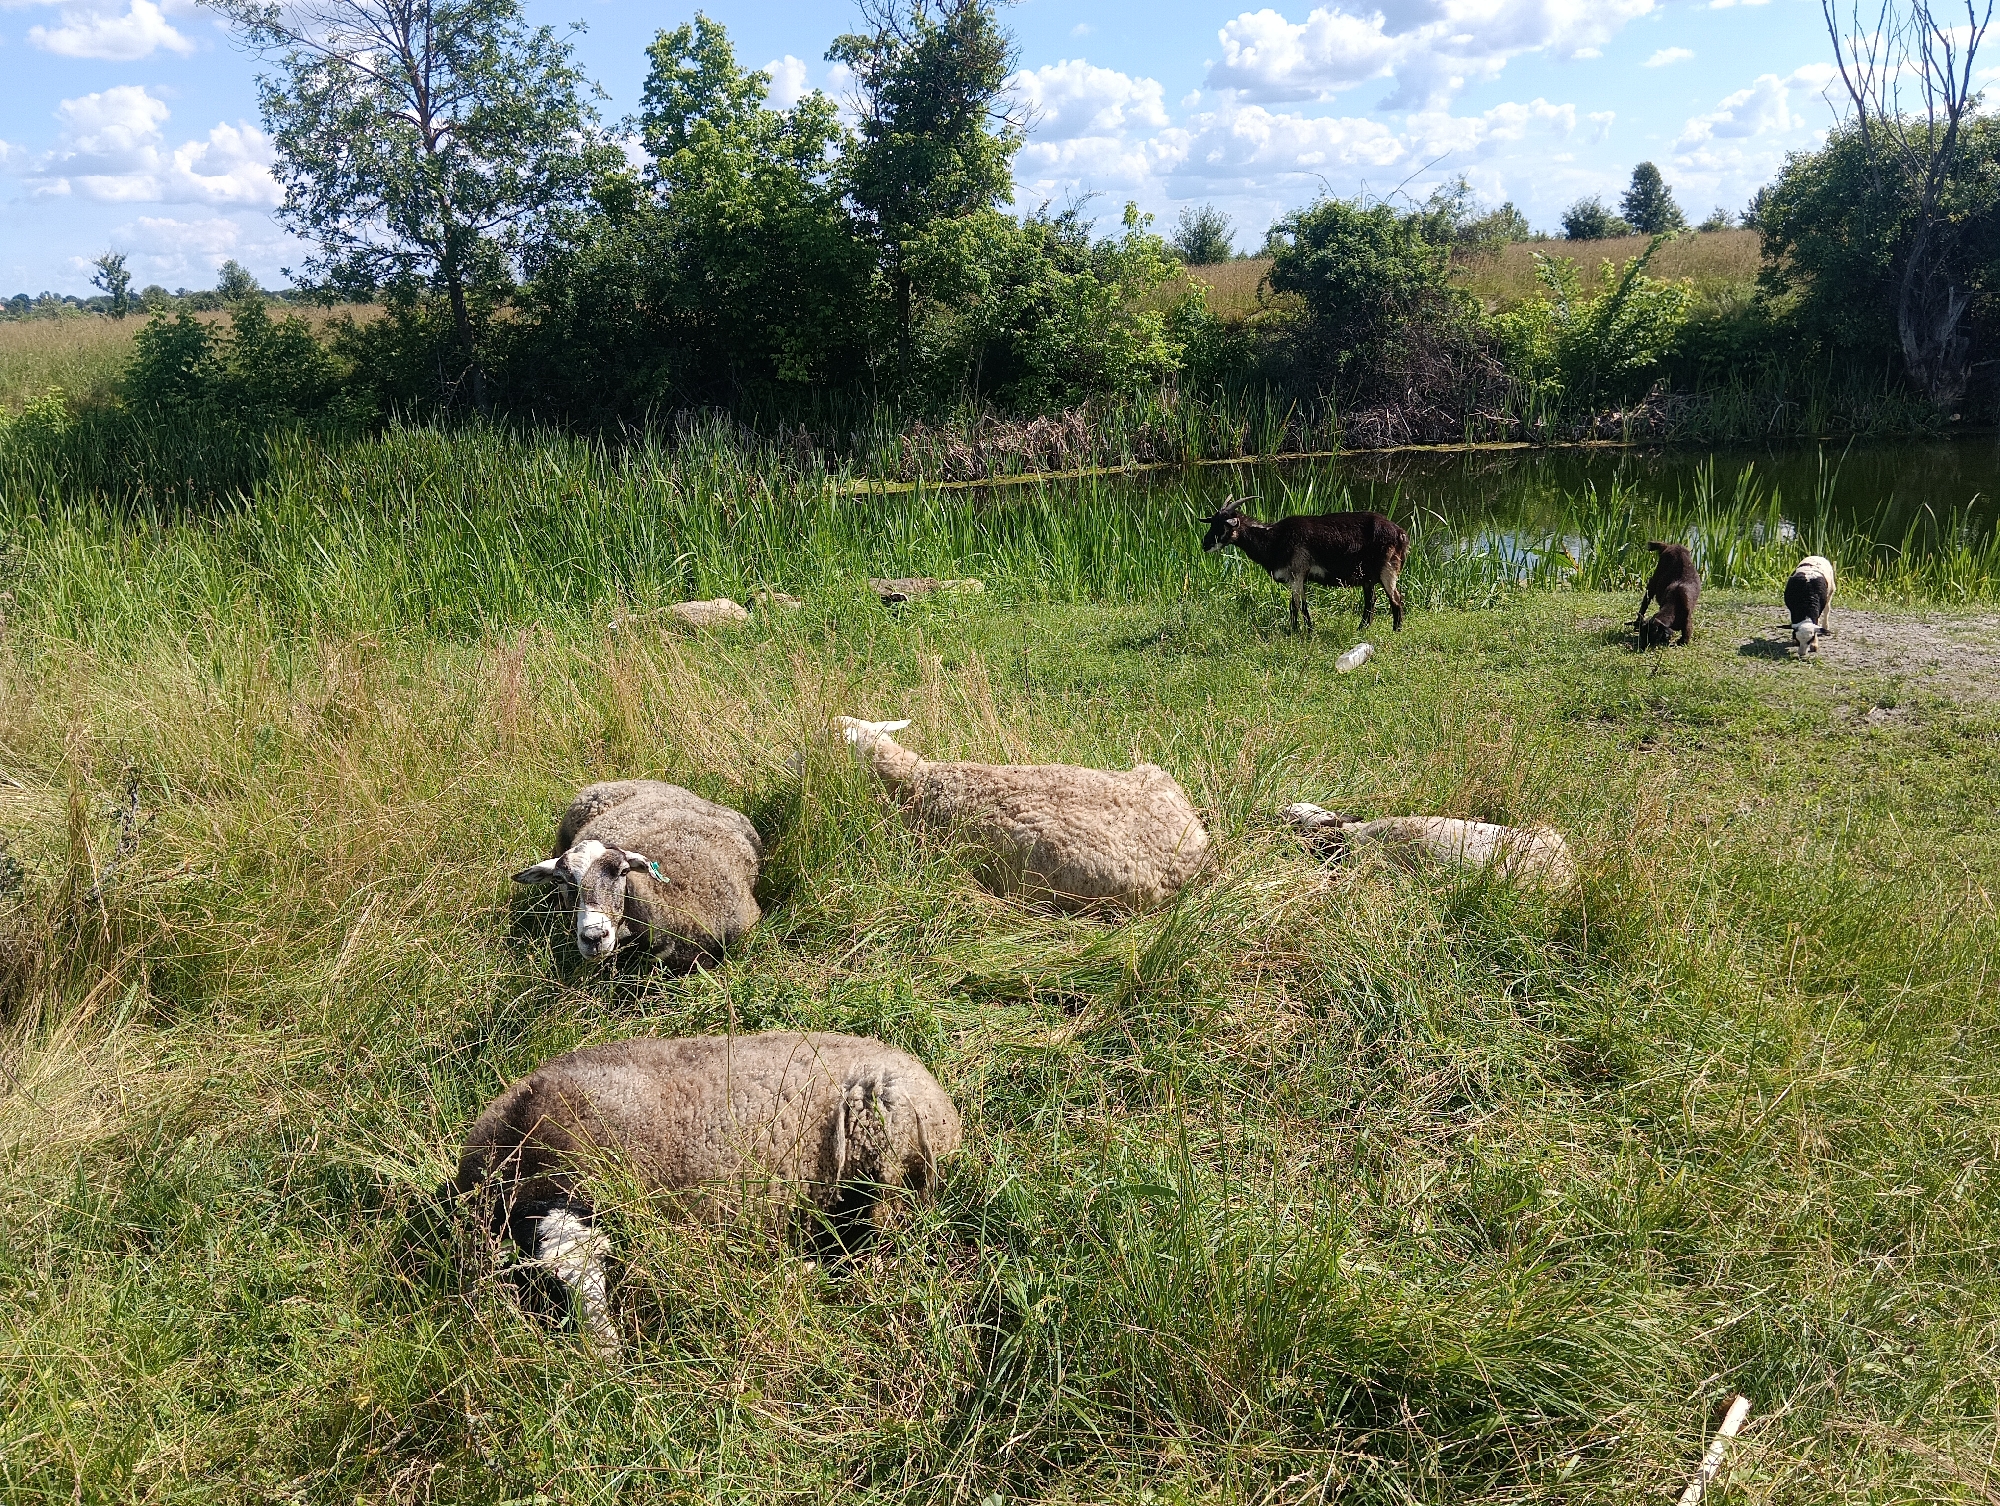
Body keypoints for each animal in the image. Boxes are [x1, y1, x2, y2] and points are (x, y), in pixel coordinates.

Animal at [1200, 499, 1410, 632]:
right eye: (1212, 522)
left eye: (1223, 526)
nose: (1204, 544)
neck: (1275, 538)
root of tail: (1401, 533)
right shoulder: (1299, 578)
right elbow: (1303, 604)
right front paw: (1308, 630)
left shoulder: (1297, 573)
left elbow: (1294, 606)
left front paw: (1295, 631)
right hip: (1369, 575)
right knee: (1371, 601)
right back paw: (1362, 628)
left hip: (1387, 569)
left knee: (1396, 599)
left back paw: (1396, 630)